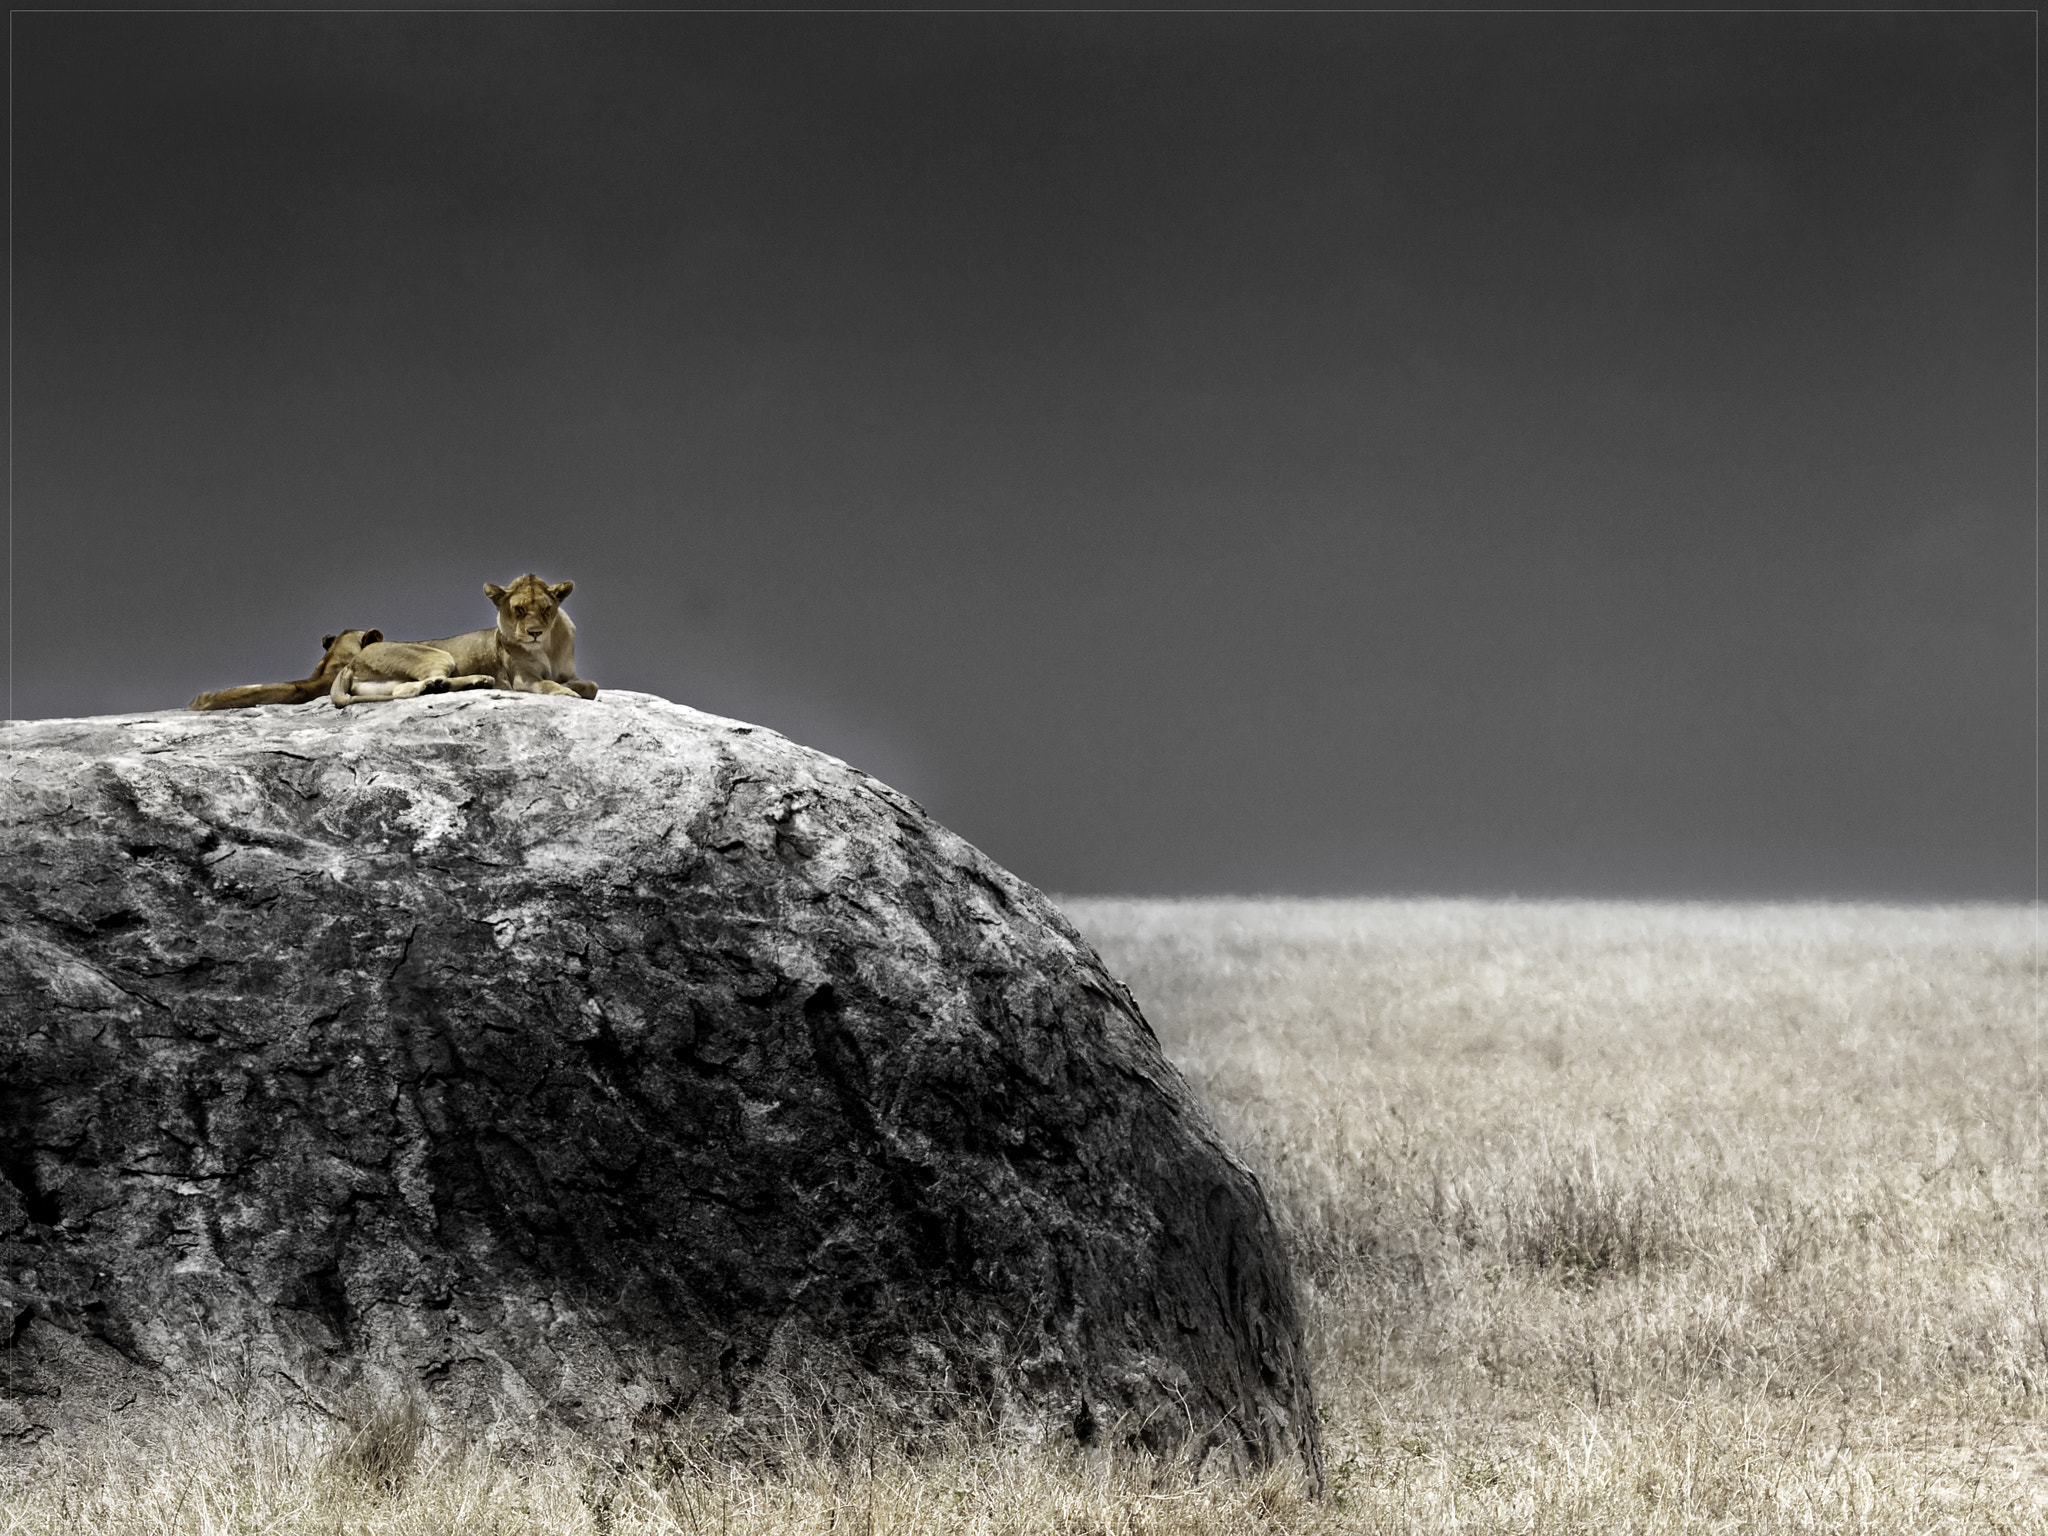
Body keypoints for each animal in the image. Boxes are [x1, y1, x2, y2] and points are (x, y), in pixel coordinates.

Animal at [329, 575, 598, 708]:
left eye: (545, 609)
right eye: (519, 609)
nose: (535, 632)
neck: (546, 647)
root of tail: (350, 663)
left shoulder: (569, 673)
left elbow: (592, 686)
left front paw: (573, 687)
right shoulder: (522, 679)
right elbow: (548, 684)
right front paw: (568, 692)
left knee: (402, 690)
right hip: (438, 654)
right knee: (427, 681)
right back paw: (469, 681)